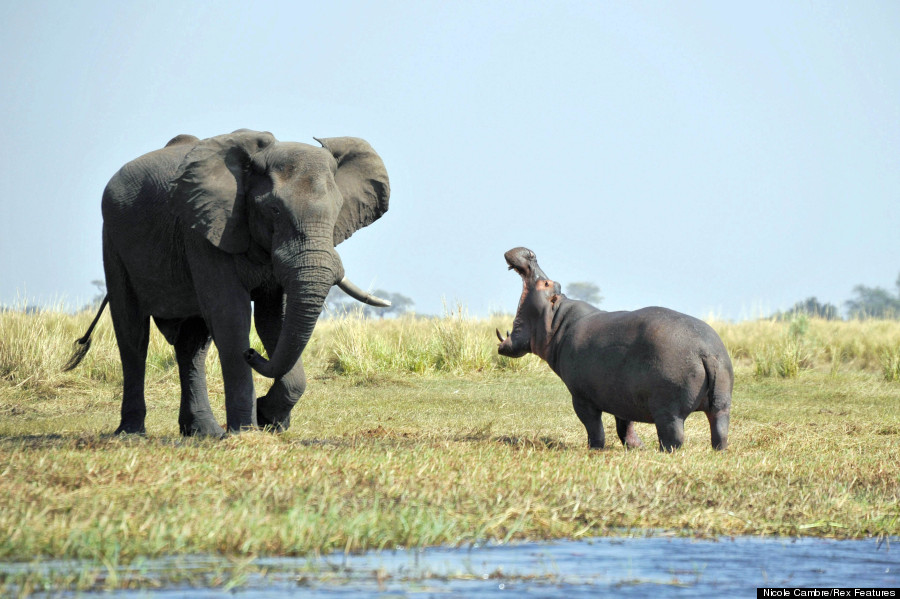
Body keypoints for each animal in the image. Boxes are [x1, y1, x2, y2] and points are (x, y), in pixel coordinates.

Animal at [68, 129, 392, 436]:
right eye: (274, 210)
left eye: (337, 210)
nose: (252, 353)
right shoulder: (204, 229)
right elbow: (231, 316)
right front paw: (247, 431)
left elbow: (274, 320)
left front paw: (268, 419)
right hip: (113, 240)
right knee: (133, 333)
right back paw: (132, 434)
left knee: (192, 345)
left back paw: (203, 433)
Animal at [500, 247, 732, 450]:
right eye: (554, 283)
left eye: (546, 283)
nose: (530, 254)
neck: (558, 320)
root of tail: (707, 352)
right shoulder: (622, 395)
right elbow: (624, 425)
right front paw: (637, 447)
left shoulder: (581, 397)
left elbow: (594, 426)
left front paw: (595, 449)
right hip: (722, 404)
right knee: (720, 430)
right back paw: (718, 451)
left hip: (669, 410)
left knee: (673, 437)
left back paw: (664, 452)